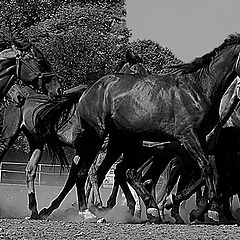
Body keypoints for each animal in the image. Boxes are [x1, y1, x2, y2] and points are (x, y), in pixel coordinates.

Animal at [38, 33, 240, 223]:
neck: (197, 90)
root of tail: (89, 89)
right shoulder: (188, 138)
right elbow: (207, 170)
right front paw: (193, 209)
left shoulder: (202, 144)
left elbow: (211, 177)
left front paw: (194, 209)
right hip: (98, 137)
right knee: (87, 171)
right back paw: (87, 210)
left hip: (121, 141)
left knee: (116, 171)